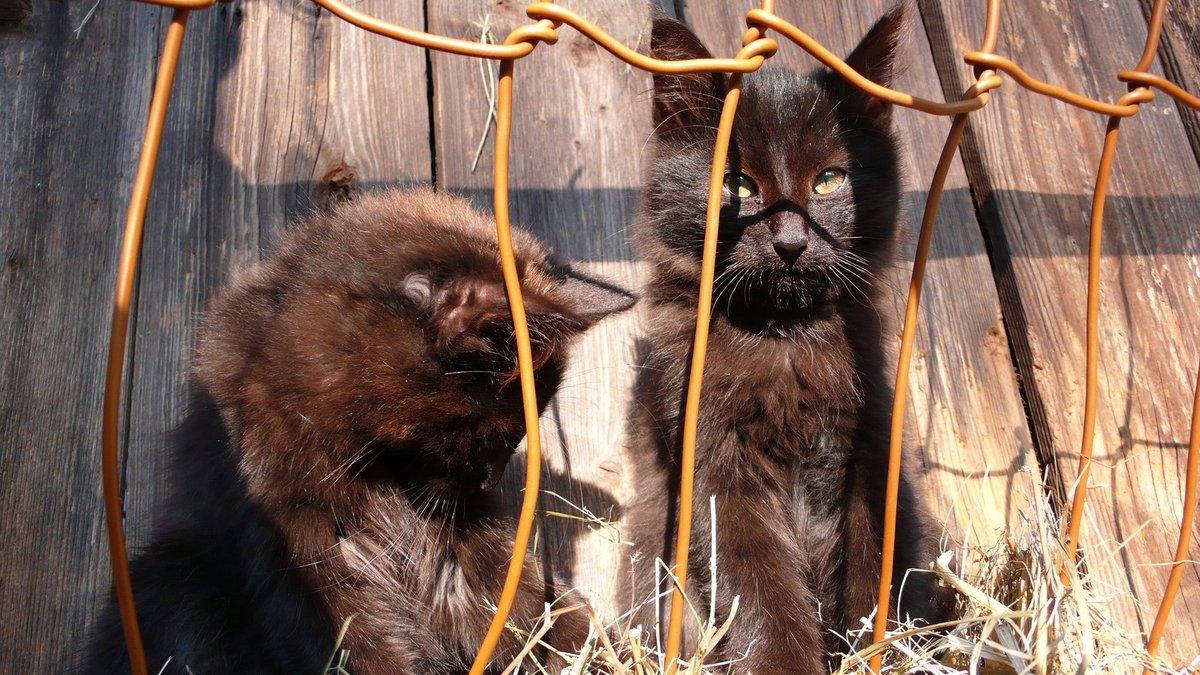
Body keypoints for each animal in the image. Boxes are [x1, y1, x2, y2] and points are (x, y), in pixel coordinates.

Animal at [84, 187, 638, 672]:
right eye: (491, 435)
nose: (489, 482)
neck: (371, 467)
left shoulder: (467, 544)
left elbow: (527, 609)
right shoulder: (307, 550)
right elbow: (361, 646)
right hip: (173, 576)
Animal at [624, 5, 950, 667]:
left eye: (829, 181)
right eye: (738, 186)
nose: (791, 243)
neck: (782, 340)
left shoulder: (869, 451)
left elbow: (873, 569)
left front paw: (874, 652)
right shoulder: (712, 463)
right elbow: (759, 587)